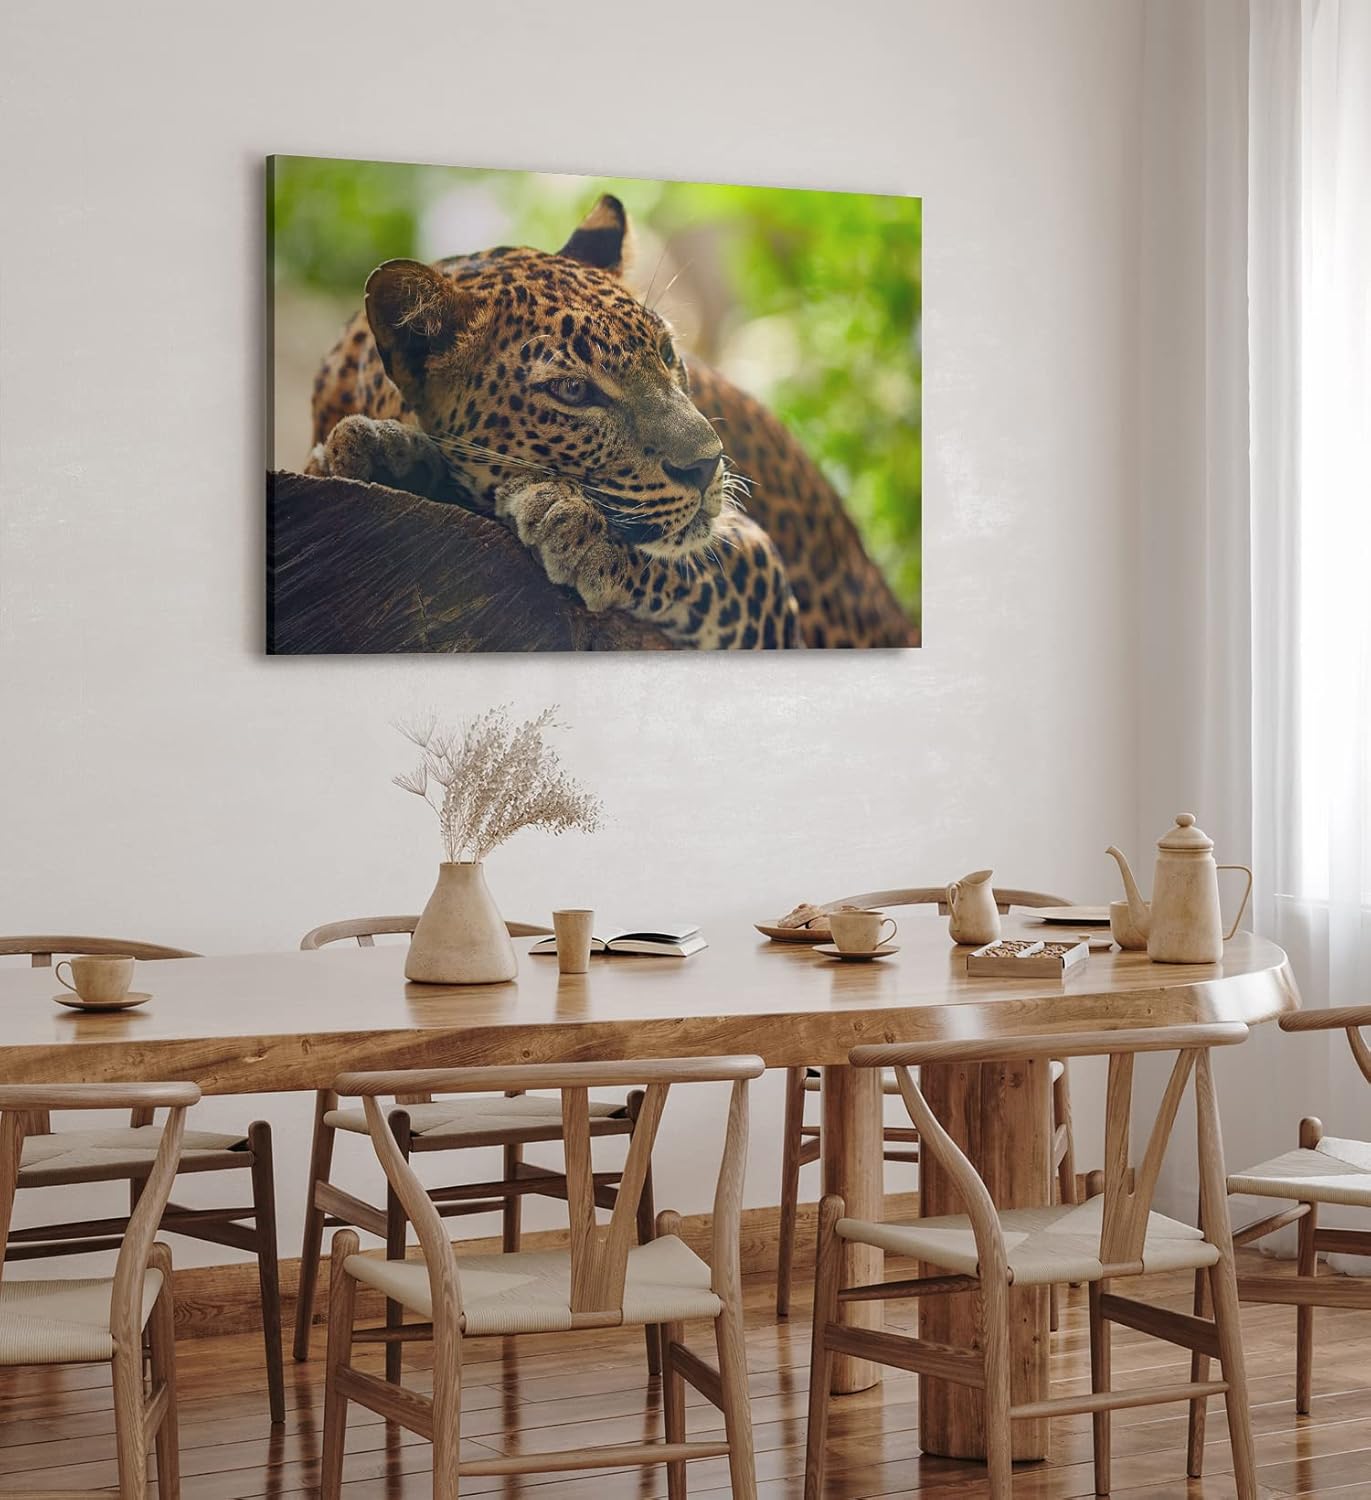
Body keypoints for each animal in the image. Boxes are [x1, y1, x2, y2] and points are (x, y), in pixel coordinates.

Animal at [306, 194, 918, 650]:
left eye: (667, 353)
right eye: (573, 390)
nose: (708, 464)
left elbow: (699, 558)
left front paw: (580, 530)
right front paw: (375, 450)